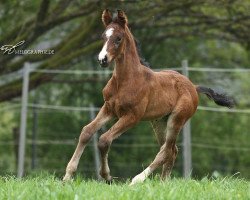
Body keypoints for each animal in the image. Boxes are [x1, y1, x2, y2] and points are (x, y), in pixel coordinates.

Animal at [63, 9, 234, 184]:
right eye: (103, 36)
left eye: (118, 38)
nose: (102, 59)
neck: (125, 80)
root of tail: (193, 87)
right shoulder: (109, 109)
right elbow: (86, 132)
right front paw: (68, 175)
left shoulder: (132, 116)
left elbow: (104, 139)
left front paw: (107, 176)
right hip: (159, 122)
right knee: (171, 150)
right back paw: (163, 182)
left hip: (176, 120)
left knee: (165, 151)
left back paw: (137, 179)